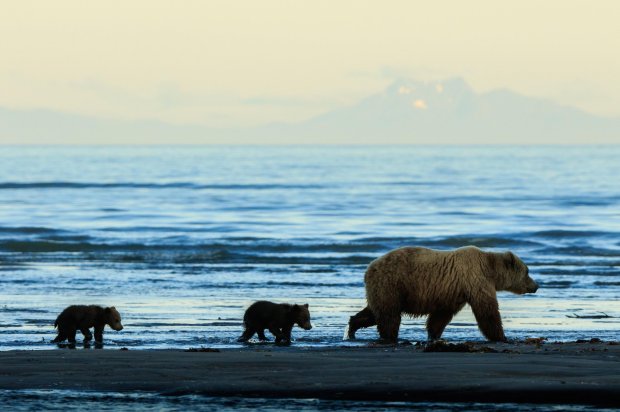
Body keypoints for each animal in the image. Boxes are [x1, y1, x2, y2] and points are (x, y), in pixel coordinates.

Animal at [348, 246, 536, 342]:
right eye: (527, 271)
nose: (536, 286)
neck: (490, 269)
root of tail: (369, 268)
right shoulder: (475, 279)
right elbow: (487, 311)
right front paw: (503, 337)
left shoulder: (454, 291)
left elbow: (441, 316)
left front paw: (433, 335)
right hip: (392, 283)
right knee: (389, 316)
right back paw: (390, 337)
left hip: (383, 288)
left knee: (374, 312)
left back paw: (352, 328)